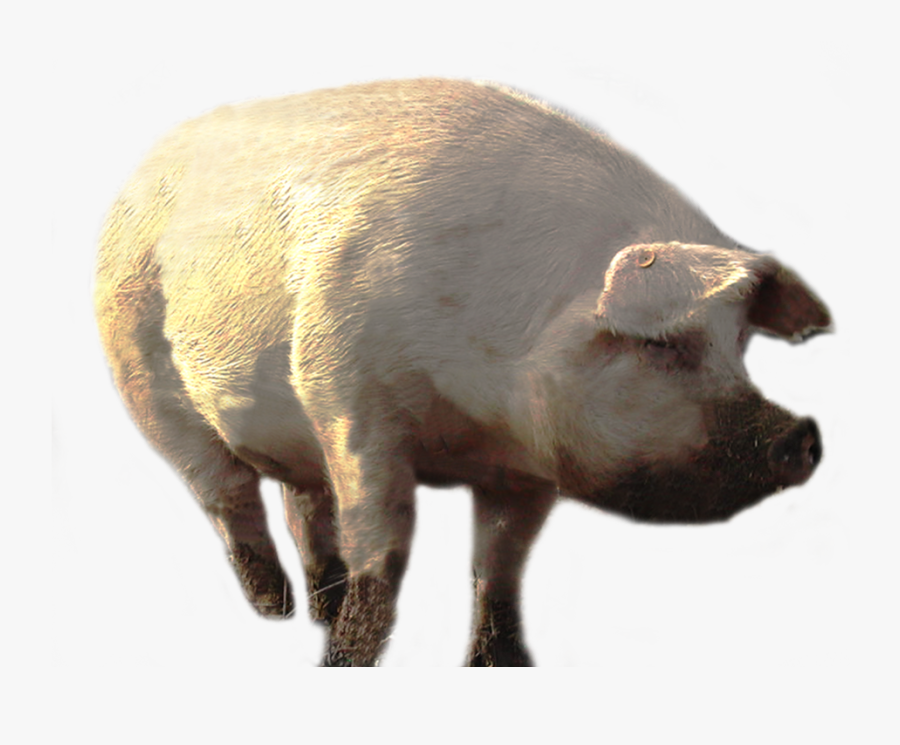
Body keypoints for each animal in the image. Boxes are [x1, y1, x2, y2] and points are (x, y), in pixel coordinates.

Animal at [94, 78, 831, 666]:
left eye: (740, 341)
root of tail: (142, 170)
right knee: (227, 496)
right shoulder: (347, 396)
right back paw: (275, 611)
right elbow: (384, 543)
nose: (802, 434)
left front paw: (502, 664)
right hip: (142, 376)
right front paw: (345, 663)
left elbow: (500, 566)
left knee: (301, 502)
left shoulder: (524, 469)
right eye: (660, 344)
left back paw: (319, 608)